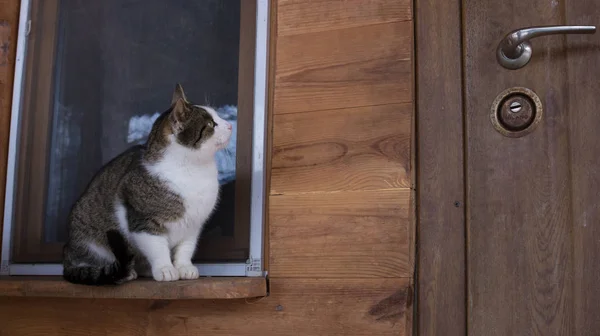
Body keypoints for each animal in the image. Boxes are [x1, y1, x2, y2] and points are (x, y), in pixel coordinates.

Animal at [62, 84, 232, 286]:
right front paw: (165, 269)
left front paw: (184, 268)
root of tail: (67, 254)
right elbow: (158, 249)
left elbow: (186, 249)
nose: (230, 125)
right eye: (212, 124)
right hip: (91, 241)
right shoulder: (144, 221)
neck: (194, 170)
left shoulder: (193, 225)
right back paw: (125, 272)